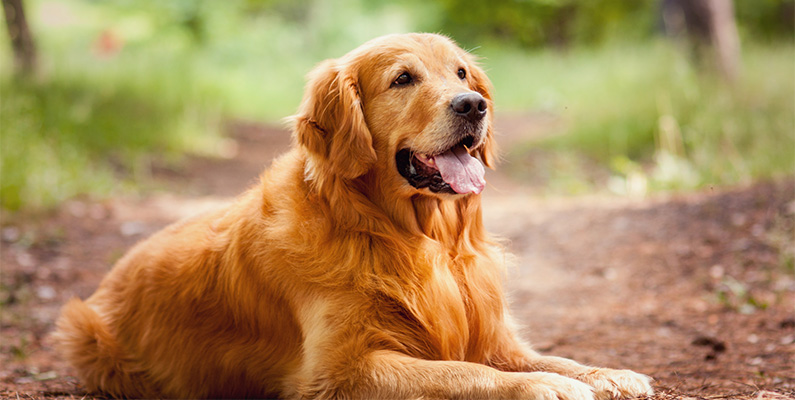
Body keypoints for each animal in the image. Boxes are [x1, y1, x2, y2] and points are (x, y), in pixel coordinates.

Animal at [54, 32, 652, 398]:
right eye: (402, 79)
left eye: (462, 74)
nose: (473, 105)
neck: (413, 237)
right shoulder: (341, 370)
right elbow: (464, 371)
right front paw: (541, 388)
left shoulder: (495, 336)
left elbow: (551, 357)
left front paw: (608, 373)